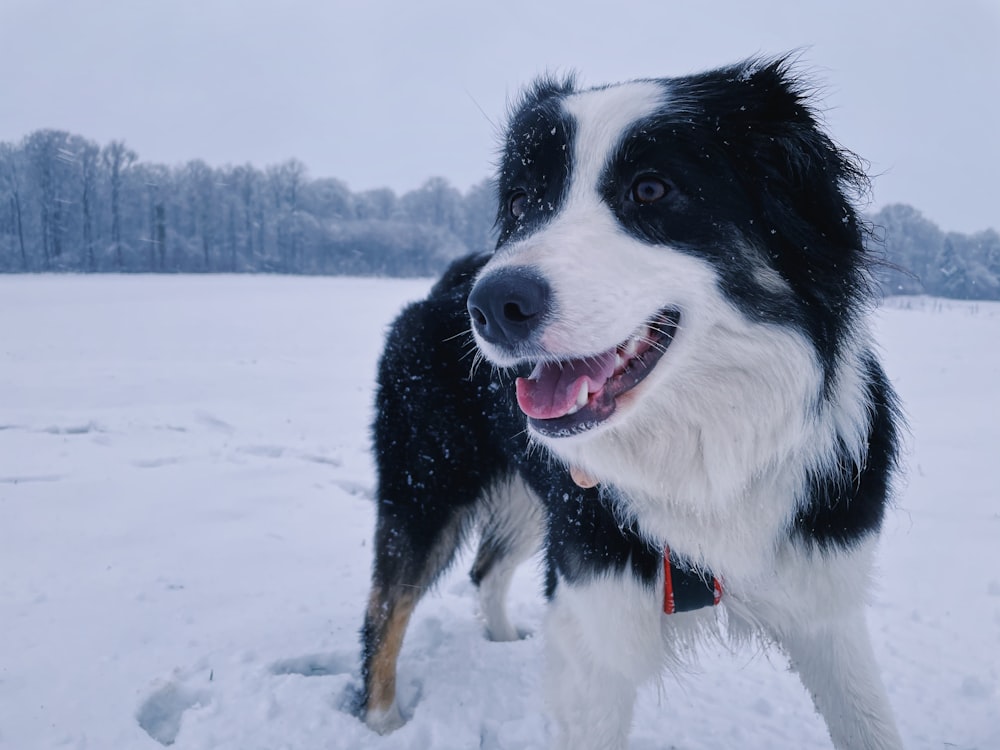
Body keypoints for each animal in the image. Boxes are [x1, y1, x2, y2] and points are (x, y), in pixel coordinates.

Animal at [360, 54, 908, 750]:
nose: (492, 306)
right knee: (387, 603)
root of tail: (448, 281)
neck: (702, 456)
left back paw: (503, 639)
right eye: (520, 202)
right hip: (428, 480)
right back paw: (381, 717)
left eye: (650, 190)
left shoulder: (824, 596)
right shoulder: (600, 616)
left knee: (485, 569)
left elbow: (868, 719)